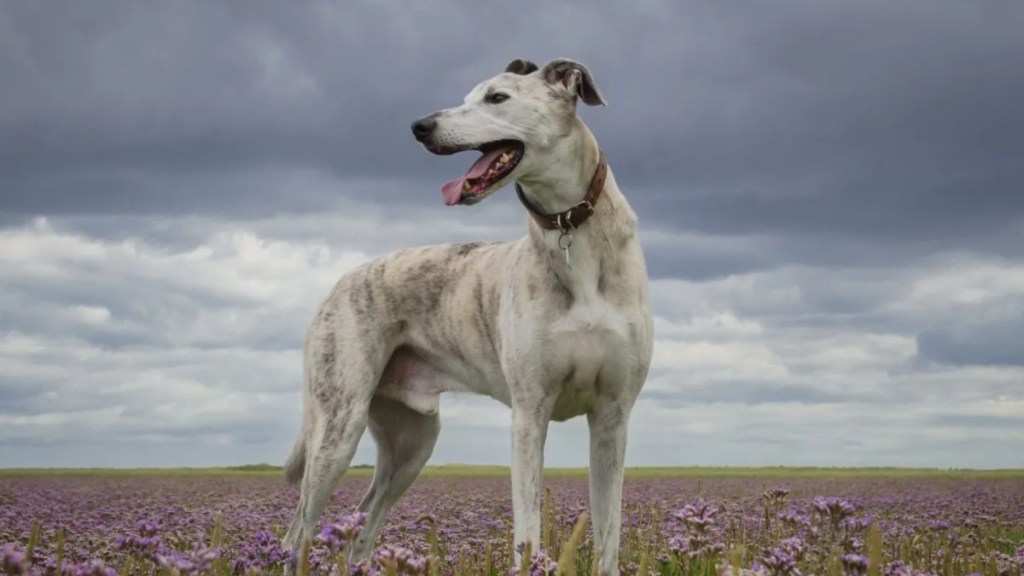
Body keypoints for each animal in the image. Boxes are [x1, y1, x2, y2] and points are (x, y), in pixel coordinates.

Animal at [278, 58, 655, 573]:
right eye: (466, 96)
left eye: (497, 97)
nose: (420, 126)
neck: (570, 231)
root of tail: (339, 284)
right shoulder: (529, 413)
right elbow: (528, 530)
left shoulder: (613, 418)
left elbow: (608, 536)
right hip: (337, 427)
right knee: (298, 531)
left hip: (410, 444)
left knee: (363, 524)